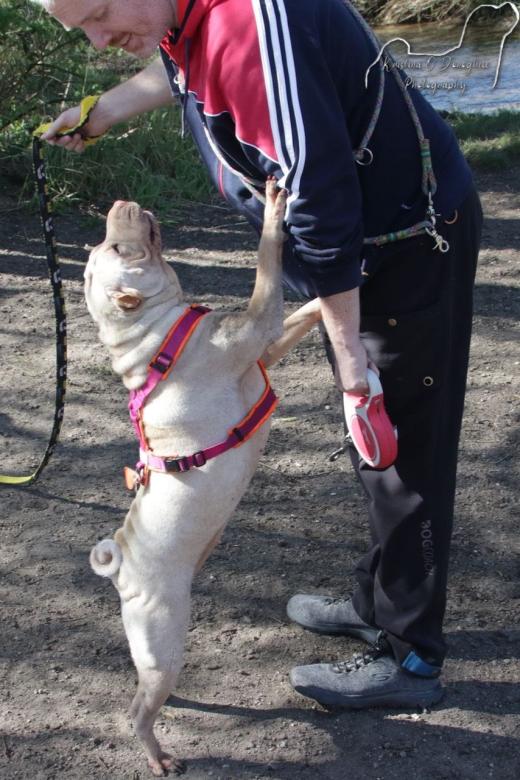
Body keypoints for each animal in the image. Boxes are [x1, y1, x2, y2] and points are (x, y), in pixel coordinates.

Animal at [84, 180, 321, 776]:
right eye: (119, 248)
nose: (117, 204)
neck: (152, 334)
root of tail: (122, 567)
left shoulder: (265, 345)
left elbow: (304, 312)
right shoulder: (256, 326)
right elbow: (266, 263)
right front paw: (273, 211)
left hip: (151, 650)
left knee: (141, 684)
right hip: (164, 640)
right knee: (138, 712)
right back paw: (158, 755)